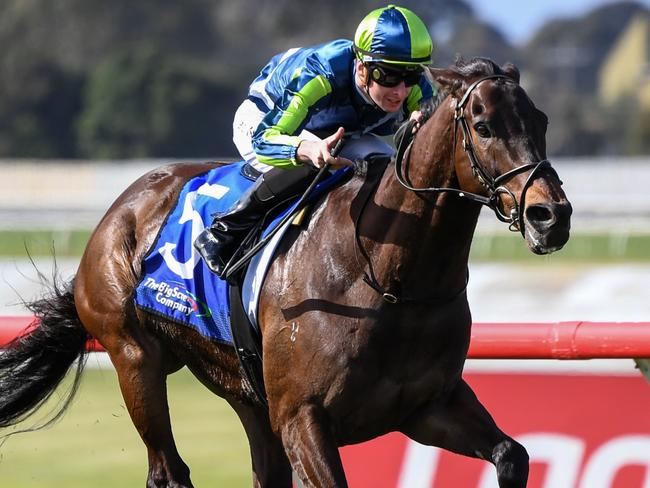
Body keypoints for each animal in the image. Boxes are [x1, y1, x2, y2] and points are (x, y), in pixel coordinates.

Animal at [0, 58, 568, 488]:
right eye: (484, 126)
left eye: (541, 121)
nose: (551, 216)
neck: (389, 277)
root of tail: (122, 206)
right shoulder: (303, 418)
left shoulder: (428, 407)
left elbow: (513, 455)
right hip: (134, 357)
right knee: (169, 471)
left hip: (246, 393)